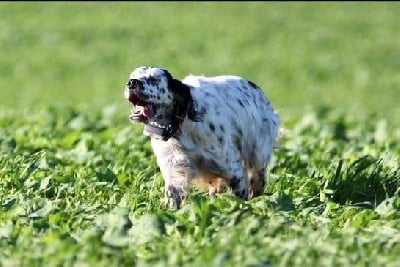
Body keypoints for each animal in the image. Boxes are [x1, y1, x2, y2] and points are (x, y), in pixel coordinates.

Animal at [123, 66, 280, 208]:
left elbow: (240, 194)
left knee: (257, 181)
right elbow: (174, 192)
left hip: (258, 156)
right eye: (132, 76)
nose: (132, 82)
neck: (180, 124)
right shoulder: (175, 165)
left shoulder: (233, 168)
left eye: (154, 79)